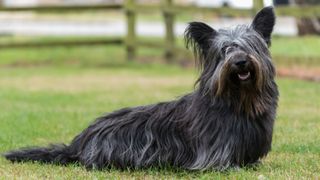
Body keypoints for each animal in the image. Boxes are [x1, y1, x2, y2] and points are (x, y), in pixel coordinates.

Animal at [3, 6, 278, 171]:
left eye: (251, 46)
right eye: (224, 51)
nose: (240, 62)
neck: (238, 101)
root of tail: (78, 144)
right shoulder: (212, 157)